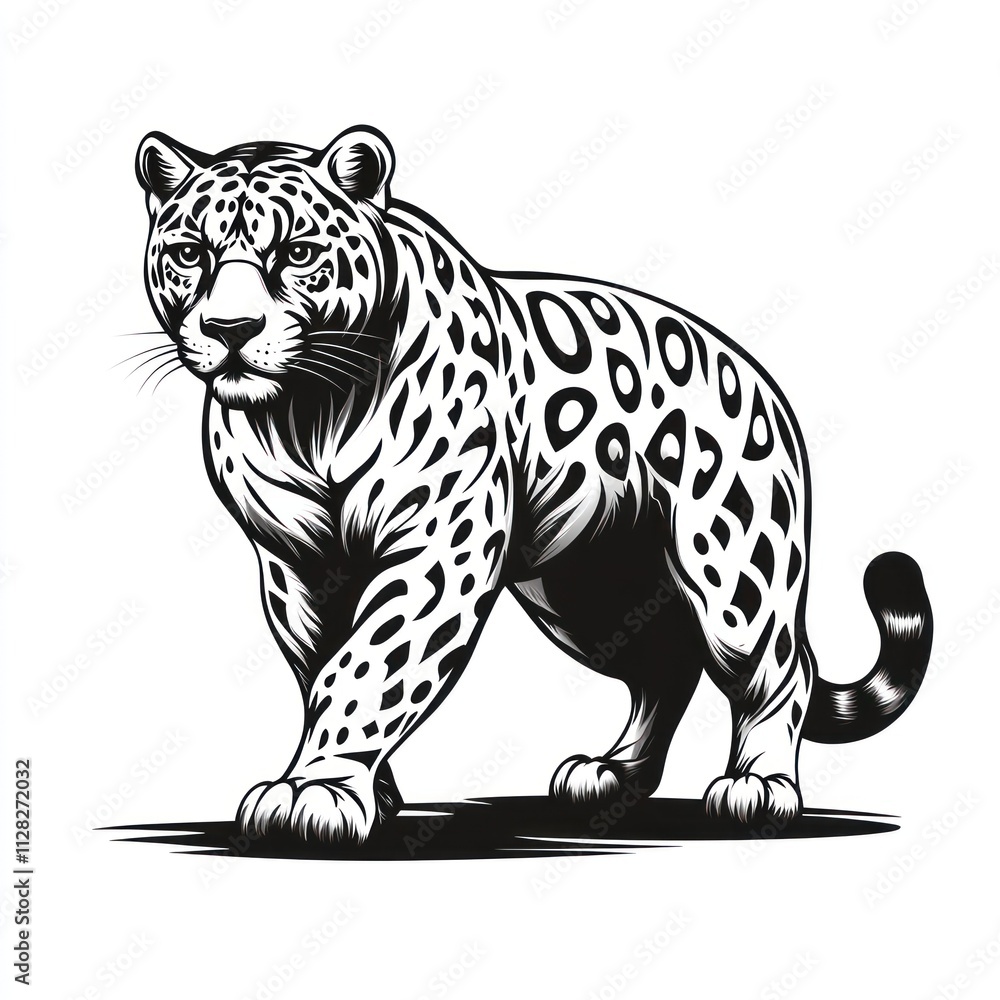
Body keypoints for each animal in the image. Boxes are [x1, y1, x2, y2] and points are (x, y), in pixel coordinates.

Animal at [134, 125, 933, 845]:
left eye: (297, 253)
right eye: (189, 254)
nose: (230, 328)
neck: (306, 415)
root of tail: (759, 379)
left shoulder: (438, 548)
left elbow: (368, 665)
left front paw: (315, 793)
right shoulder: (297, 566)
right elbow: (321, 667)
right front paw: (368, 792)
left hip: (735, 569)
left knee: (777, 669)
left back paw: (758, 786)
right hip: (590, 588)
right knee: (665, 663)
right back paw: (611, 776)